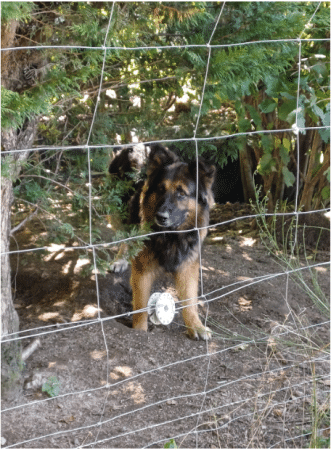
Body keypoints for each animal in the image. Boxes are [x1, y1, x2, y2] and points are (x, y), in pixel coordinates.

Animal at [128, 146, 217, 340]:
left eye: (181, 193)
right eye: (161, 189)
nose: (160, 217)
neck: (171, 237)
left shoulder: (187, 268)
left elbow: (190, 301)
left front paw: (196, 326)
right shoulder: (143, 269)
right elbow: (141, 304)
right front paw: (139, 331)